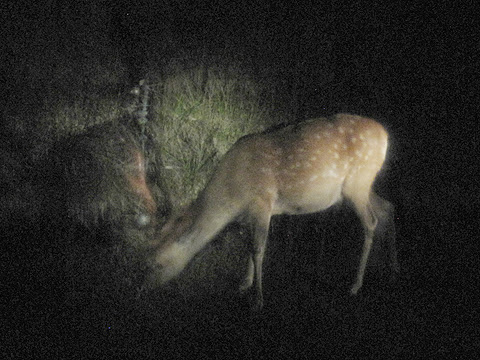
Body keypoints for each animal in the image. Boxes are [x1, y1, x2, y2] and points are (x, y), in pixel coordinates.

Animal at [152, 113, 400, 310]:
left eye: (158, 263)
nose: (147, 288)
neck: (233, 196)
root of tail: (385, 135)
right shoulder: (252, 213)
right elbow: (250, 246)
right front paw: (244, 284)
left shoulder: (262, 201)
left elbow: (258, 248)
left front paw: (257, 299)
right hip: (361, 186)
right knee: (387, 209)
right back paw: (391, 270)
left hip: (357, 182)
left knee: (371, 221)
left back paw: (356, 285)